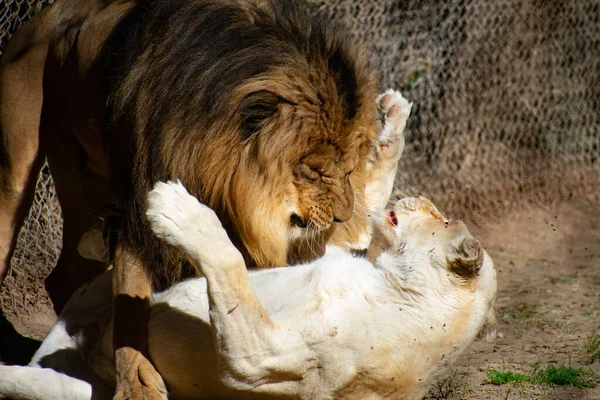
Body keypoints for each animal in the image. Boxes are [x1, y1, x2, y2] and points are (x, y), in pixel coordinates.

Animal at [0, 0, 384, 396]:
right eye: (316, 171)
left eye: (350, 169)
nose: (342, 218)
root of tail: (43, 17)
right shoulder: (138, 205)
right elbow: (131, 300)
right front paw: (137, 385)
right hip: (18, 163)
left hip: (83, 186)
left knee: (63, 277)